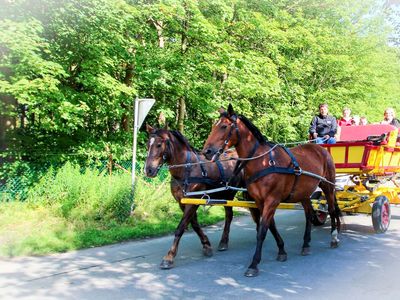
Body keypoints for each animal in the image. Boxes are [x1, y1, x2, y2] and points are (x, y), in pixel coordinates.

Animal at [145, 124, 266, 270]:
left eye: (159, 144)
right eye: (148, 144)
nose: (148, 170)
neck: (187, 169)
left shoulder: (193, 202)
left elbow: (181, 227)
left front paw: (169, 257)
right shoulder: (182, 202)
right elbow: (194, 224)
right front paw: (206, 245)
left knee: (255, 212)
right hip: (227, 194)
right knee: (229, 215)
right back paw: (224, 242)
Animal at [203, 104, 340, 278]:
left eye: (224, 126)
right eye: (214, 126)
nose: (206, 151)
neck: (263, 161)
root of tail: (320, 148)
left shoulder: (272, 200)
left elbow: (262, 230)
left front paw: (254, 264)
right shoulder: (260, 201)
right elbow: (271, 226)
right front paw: (281, 250)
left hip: (328, 186)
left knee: (332, 209)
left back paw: (334, 238)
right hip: (303, 193)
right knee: (309, 214)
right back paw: (306, 244)